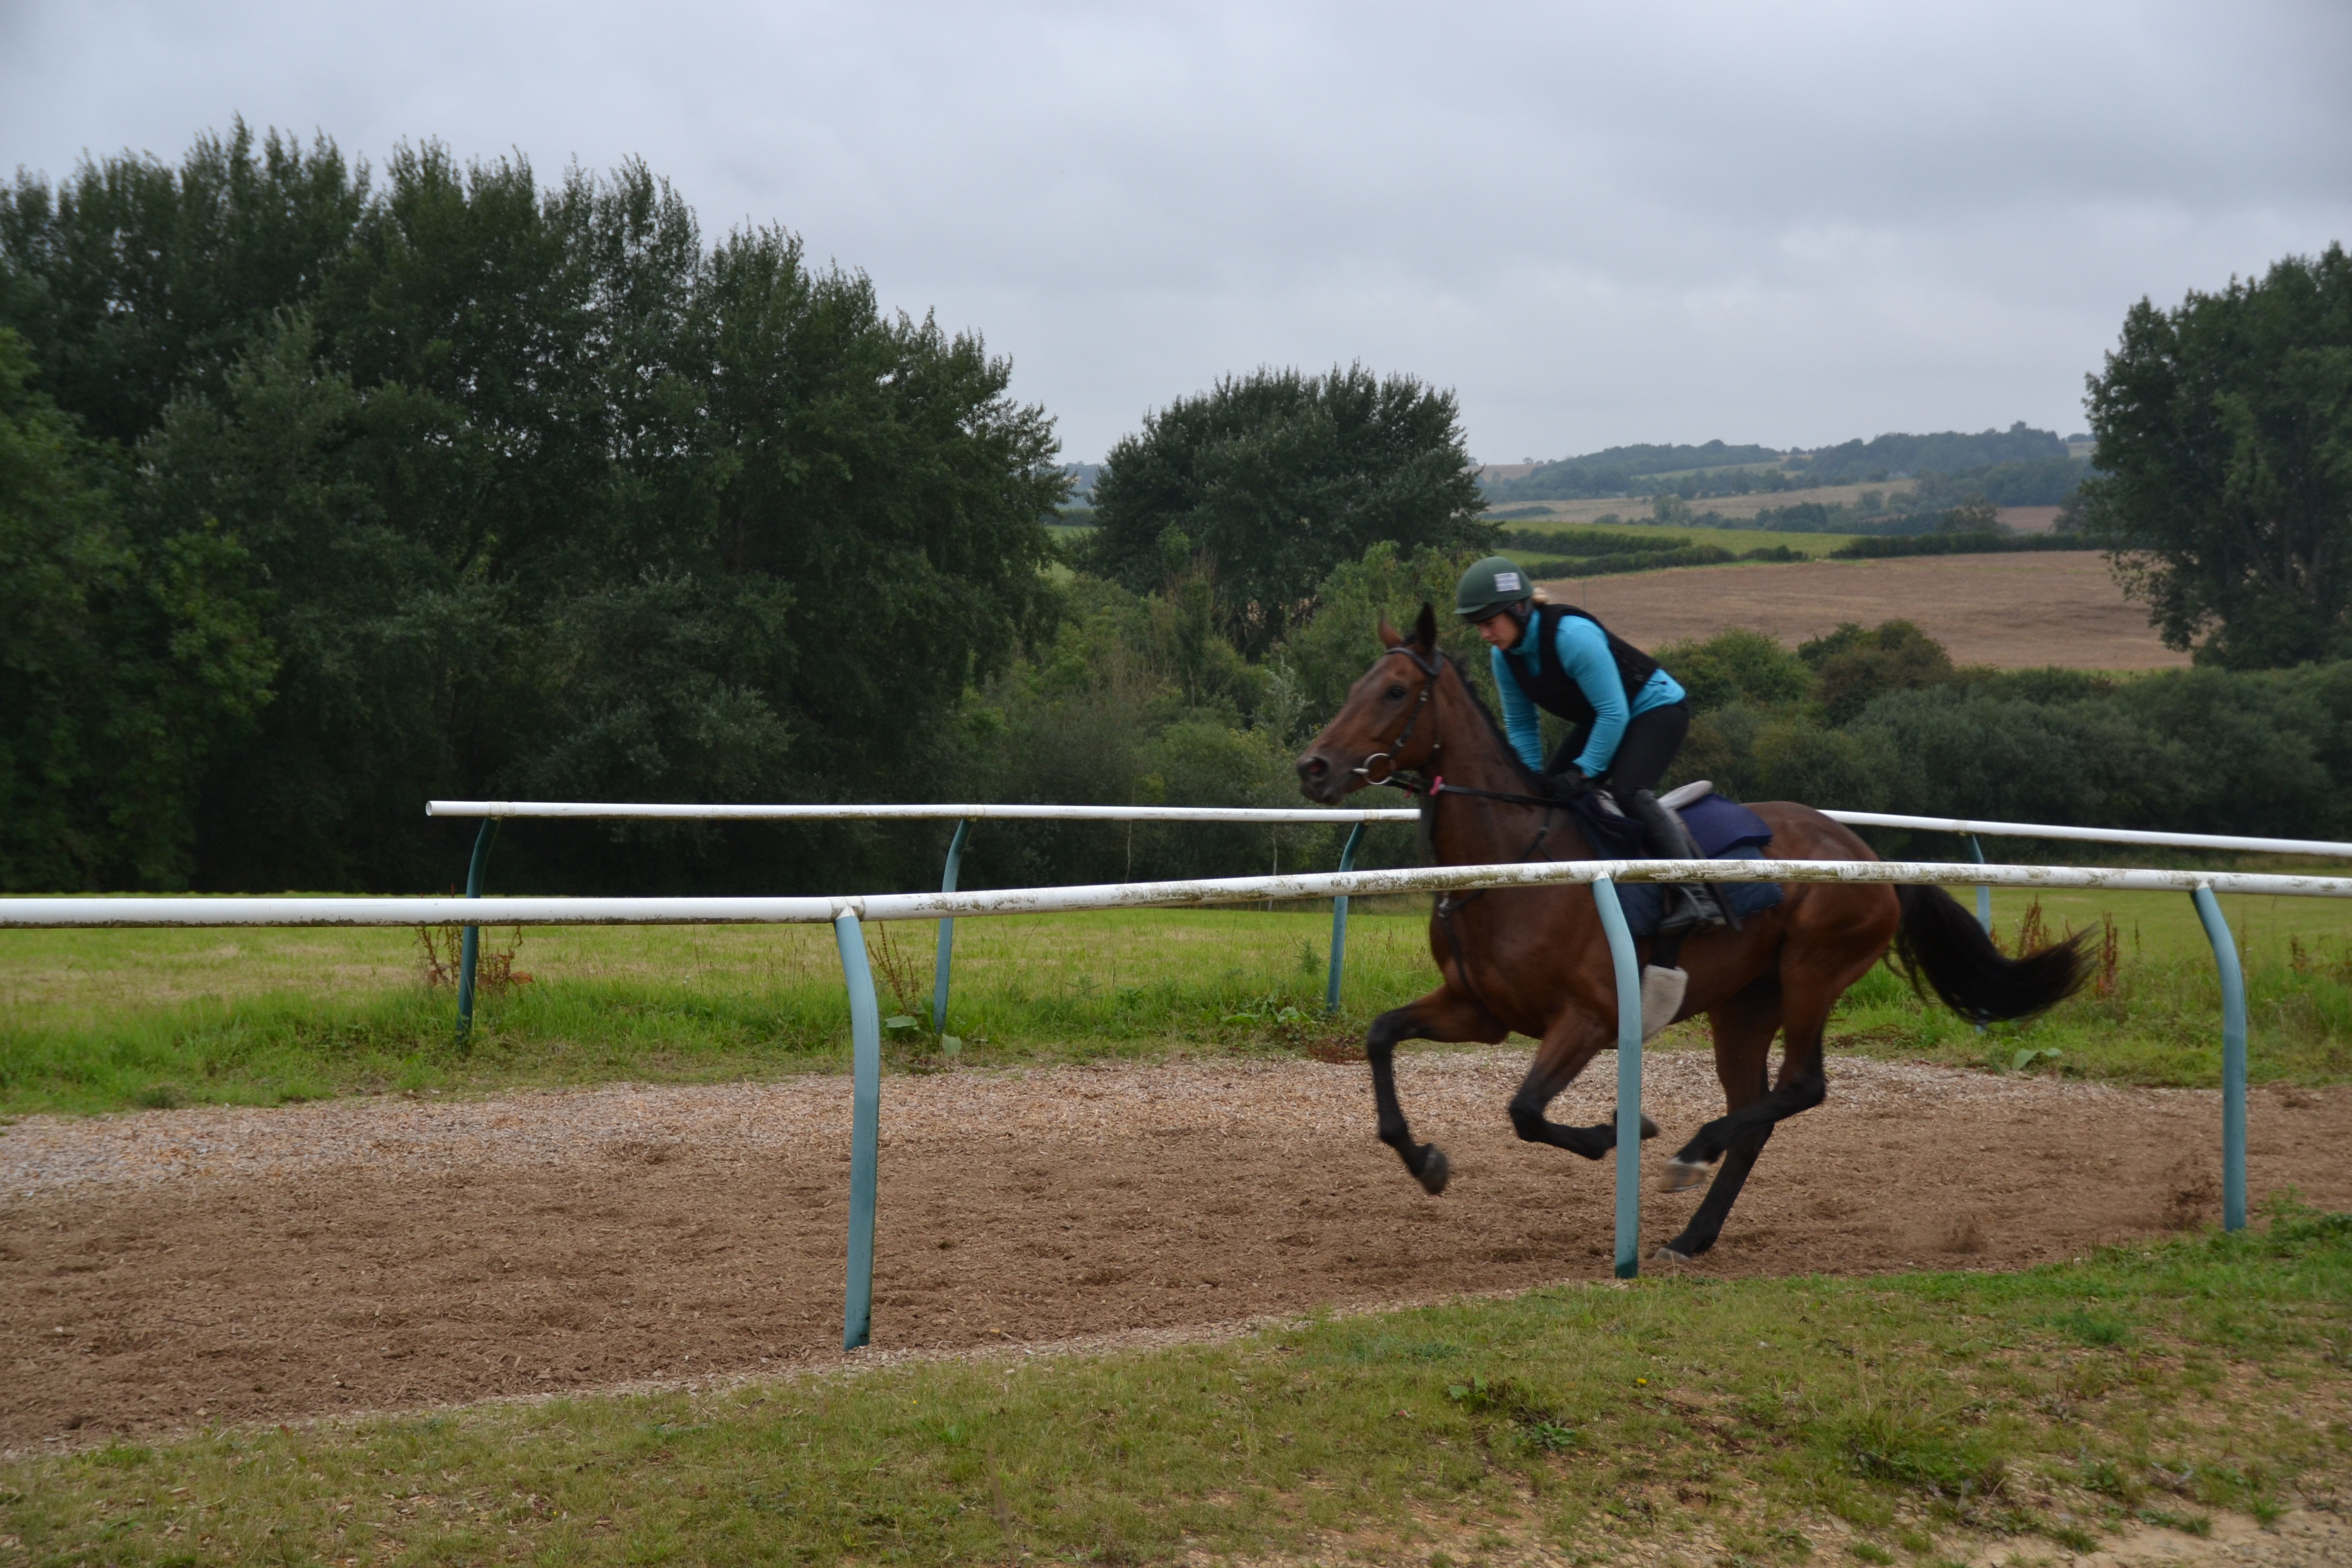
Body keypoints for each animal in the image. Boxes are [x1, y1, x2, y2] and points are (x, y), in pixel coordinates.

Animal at [1298, 606, 2088, 1269]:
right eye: (1357, 685)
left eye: (1395, 691)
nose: (1314, 767)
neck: (1514, 859)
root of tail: (1866, 855)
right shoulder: (1480, 1010)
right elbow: (1380, 1036)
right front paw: (1423, 1159)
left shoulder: (1589, 1017)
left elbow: (1525, 1112)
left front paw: (1620, 1130)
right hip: (1744, 1004)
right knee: (1756, 1112)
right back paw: (1693, 1233)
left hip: (1813, 971)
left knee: (1800, 1087)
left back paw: (1692, 1152)